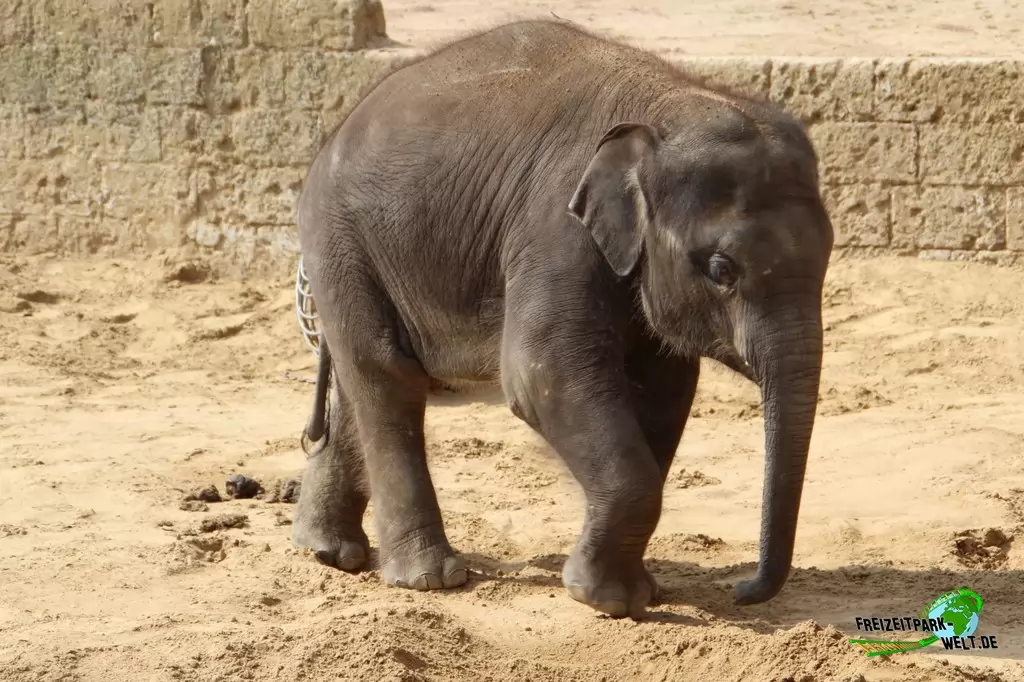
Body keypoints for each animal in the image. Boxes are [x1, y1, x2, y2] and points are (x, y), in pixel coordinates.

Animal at [291, 18, 834, 620]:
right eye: (721, 268)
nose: (740, 589)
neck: (668, 104)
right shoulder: (554, 225)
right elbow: (539, 371)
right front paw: (604, 599)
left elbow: (664, 389)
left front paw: (636, 593)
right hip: (342, 242)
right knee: (387, 375)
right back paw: (430, 579)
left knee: (358, 384)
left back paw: (328, 552)